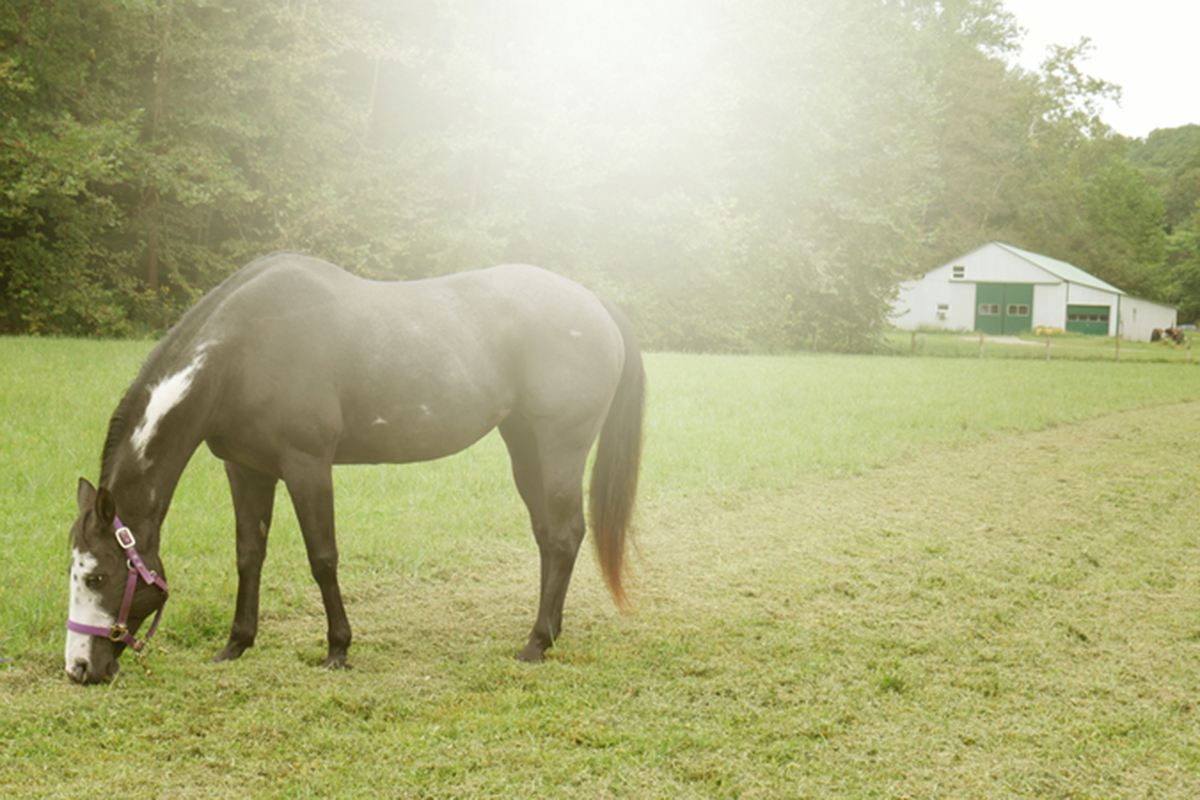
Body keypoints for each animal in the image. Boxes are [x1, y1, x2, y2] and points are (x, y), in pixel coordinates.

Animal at [65, 252, 644, 684]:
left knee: (565, 535)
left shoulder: (307, 465)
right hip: (525, 445)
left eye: (97, 575)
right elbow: (249, 555)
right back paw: (550, 632)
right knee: (550, 536)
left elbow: (323, 558)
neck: (242, 350)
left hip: (562, 447)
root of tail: (593, 302)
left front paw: (338, 649)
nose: (78, 668)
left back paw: (536, 643)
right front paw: (236, 644)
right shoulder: (246, 469)